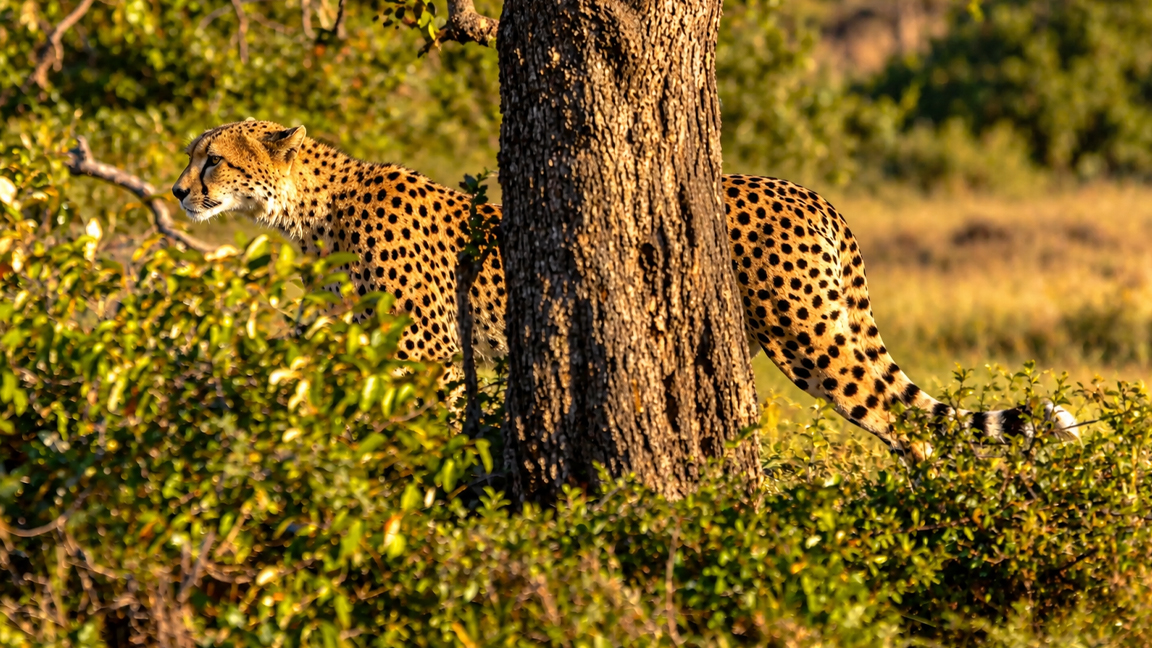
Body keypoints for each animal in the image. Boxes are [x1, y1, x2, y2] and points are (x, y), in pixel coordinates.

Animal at [172, 119, 1078, 456]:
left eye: (213, 159)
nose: (179, 192)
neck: (309, 210)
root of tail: (805, 190)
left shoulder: (427, 352)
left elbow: (430, 427)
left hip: (809, 334)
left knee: (899, 420)